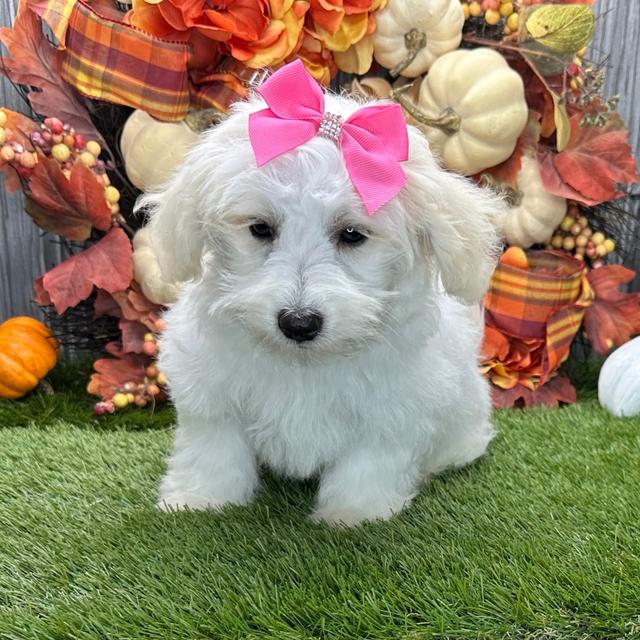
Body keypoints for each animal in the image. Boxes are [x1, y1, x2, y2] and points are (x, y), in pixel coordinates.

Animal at [141, 87, 504, 528]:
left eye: (352, 234)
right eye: (260, 228)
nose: (298, 322)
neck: (306, 363)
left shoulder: (393, 408)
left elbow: (368, 462)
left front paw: (353, 514)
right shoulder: (212, 391)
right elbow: (214, 448)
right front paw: (200, 500)